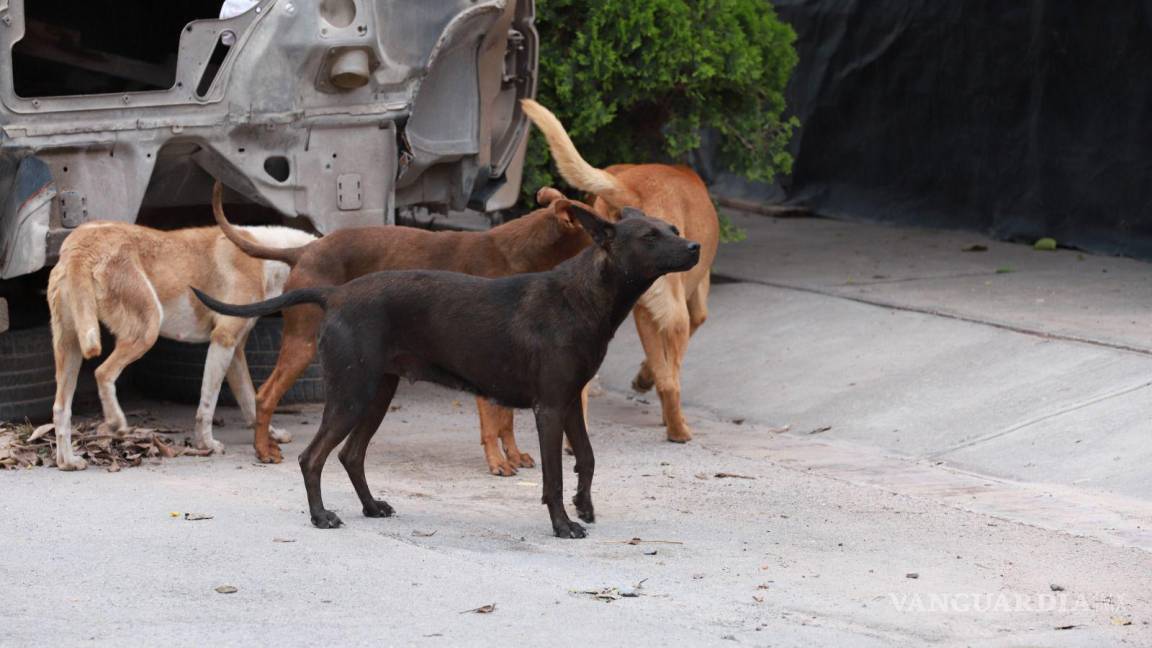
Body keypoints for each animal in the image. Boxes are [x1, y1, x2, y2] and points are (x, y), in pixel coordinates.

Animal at [47, 217, 315, 468]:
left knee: (60, 408)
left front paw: (271, 434)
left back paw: (67, 461)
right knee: (103, 373)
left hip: (70, 346)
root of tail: (81, 244)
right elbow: (208, 403)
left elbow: (250, 399)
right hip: (147, 329)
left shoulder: (235, 350)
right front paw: (206, 444)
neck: (266, 258)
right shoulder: (223, 339)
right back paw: (116, 422)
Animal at [211, 184, 594, 465]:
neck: (519, 252)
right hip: (303, 343)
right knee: (265, 394)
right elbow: (492, 419)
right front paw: (497, 462)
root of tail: (304, 251)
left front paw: (513, 455)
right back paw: (263, 450)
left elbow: (507, 420)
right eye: (604, 220)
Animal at [525, 98, 718, 440]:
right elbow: (669, 360)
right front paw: (647, 381)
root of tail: (629, 187)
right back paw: (678, 430)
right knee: (671, 382)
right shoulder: (691, 306)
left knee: (581, 390)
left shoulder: (643, 312)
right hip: (676, 317)